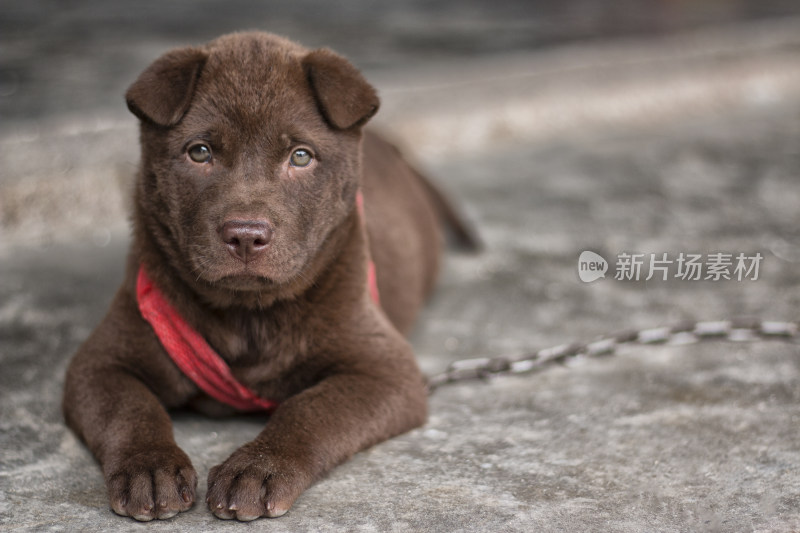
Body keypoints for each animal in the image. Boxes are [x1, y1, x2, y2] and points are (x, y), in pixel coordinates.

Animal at [62, 32, 462, 520]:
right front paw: (149, 467)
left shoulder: (385, 370)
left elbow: (309, 409)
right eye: (200, 152)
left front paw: (259, 469)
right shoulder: (99, 362)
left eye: (301, 156)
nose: (247, 236)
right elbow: (130, 408)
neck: (247, 315)